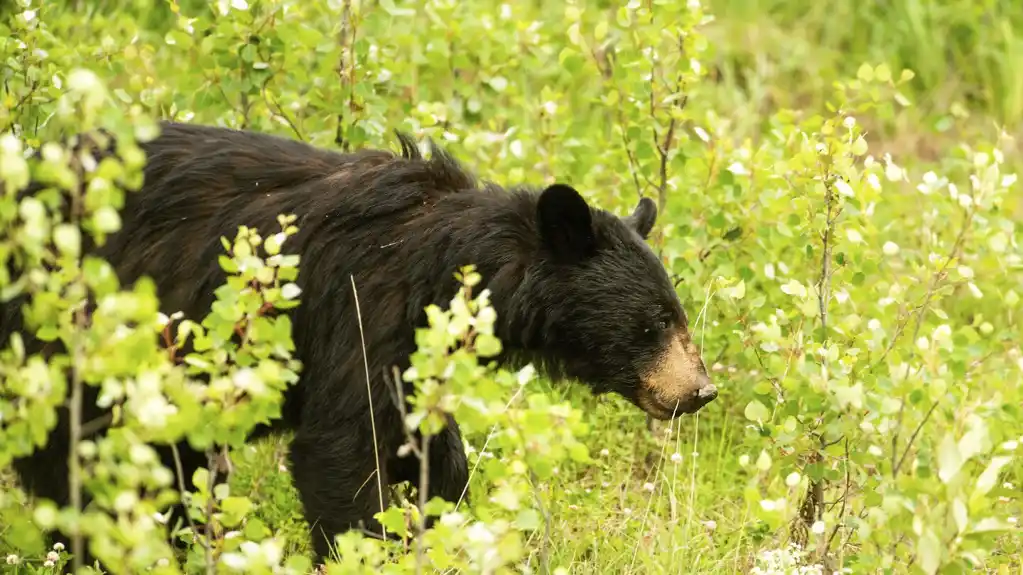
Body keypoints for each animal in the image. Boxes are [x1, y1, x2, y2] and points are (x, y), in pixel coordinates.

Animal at [1, 121, 720, 564]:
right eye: (655, 322)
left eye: (676, 315)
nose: (699, 390)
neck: (451, 269)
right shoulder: (362, 308)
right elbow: (341, 450)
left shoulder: (418, 351)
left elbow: (430, 445)